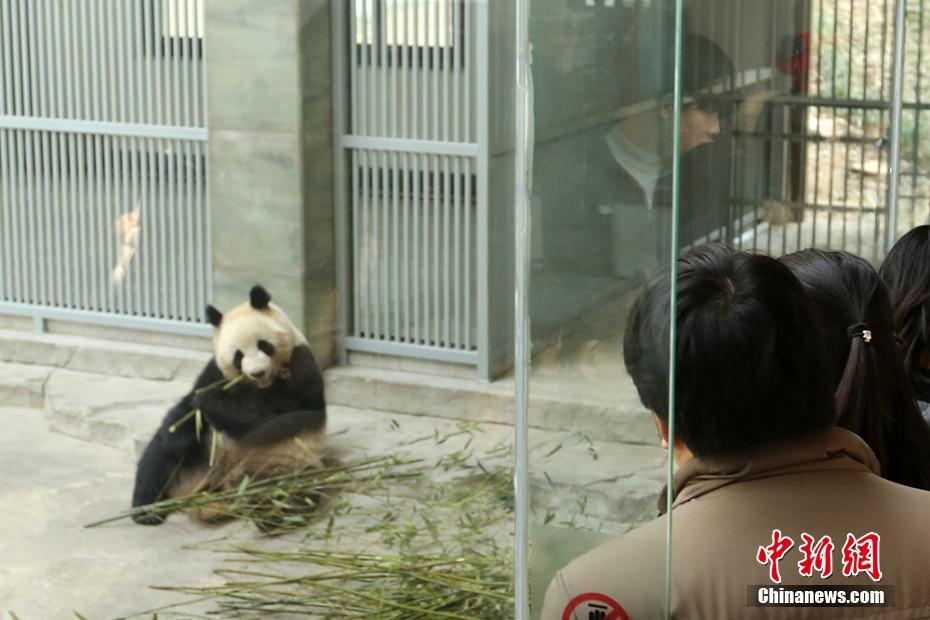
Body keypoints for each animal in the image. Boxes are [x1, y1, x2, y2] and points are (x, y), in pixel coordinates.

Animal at [130, 284, 326, 524]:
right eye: (238, 356)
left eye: (264, 345)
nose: (257, 372)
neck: (259, 385)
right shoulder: (216, 371)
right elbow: (186, 409)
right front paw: (185, 427)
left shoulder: (302, 365)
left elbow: (277, 420)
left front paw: (208, 400)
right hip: (201, 457)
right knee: (156, 461)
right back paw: (146, 511)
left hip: (290, 465)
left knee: (294, 494)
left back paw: (272, 516)